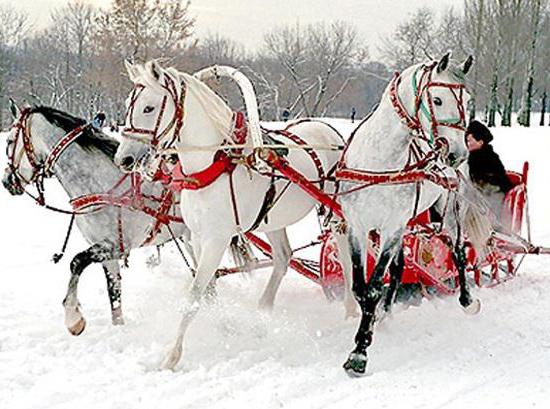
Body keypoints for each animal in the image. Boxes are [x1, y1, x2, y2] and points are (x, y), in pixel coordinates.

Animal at [116, 60, 358, 370]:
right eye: (127, 104)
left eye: (148, 107)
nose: (123, 159)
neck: (212, 165)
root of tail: (331, 132)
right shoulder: (196, 237)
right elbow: (206, 289)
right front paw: (224, 325)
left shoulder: (216, 240)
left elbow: (194, 294)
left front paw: (173, 354)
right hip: (273, 219)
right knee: (283, 258)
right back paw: (263, 312)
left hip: (333, 209)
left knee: (343, 254)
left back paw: (350, 307)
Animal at [340, 53, 484, 376]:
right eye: (438, 99)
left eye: (469, 101)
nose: (457, 153)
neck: (380, 163)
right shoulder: (358, 226)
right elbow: (361, 287)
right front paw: (366, 332)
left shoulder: (393, 225)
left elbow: (373, 288)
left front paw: (359, 351)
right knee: (398, 268)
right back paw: (386, 313)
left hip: (448, 212)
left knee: (458, 253)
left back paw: (467, 300)